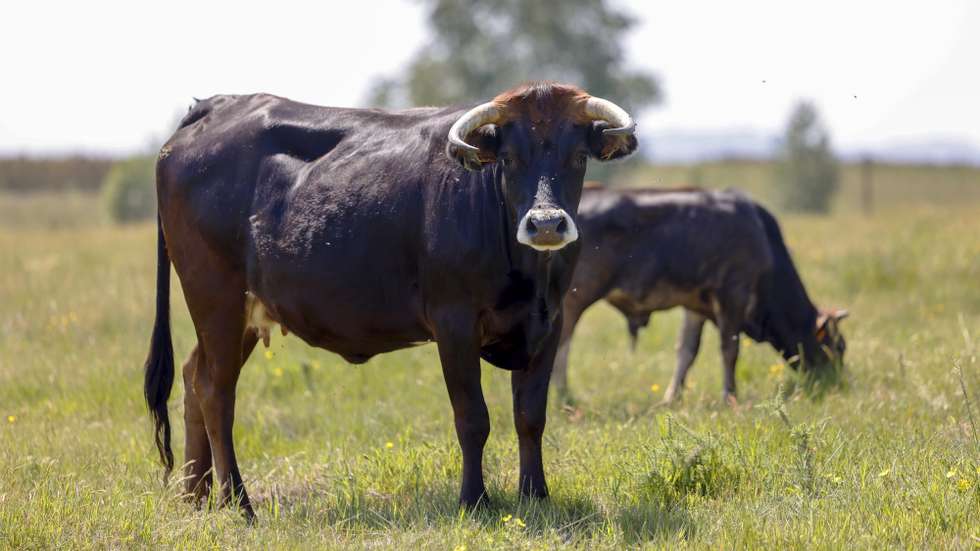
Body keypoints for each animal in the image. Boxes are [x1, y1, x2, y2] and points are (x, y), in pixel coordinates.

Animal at [143, 82, 638, 519]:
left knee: (194, 377)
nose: (547, 223)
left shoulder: (549, 323)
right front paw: (474, 500)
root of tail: (217, 105)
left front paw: (535, 496)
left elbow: (530, 416)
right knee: (216, 393)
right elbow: (472, 418)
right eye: (510, 158)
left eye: (577, 157)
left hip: (242, 311)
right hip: (216, 299)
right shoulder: (455, 324)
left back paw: (197, 497)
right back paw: (240, 503)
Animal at [552, 186, 848, 403]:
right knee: (561, 347)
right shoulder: (733, 294)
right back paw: (564, 398)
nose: (837, 383)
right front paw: (730, 396)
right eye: (838, 346)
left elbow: (686, 351)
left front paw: (672, 397)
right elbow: (730, 349)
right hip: (572, 301)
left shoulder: (694, 306)